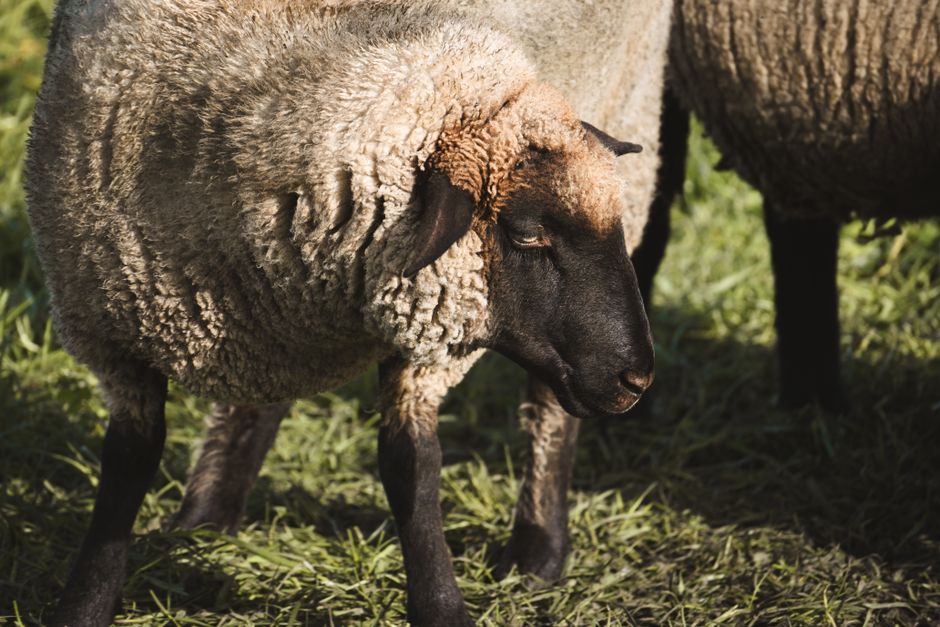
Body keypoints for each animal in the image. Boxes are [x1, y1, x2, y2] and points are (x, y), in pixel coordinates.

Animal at [26, 1, 669, 624]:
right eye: (528, 235)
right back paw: (207, 517)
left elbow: (412, 466)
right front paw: (84, 604)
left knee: (549, 412)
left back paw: (538, 552)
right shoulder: (108, 328)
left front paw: (441, 605)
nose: (637, 379)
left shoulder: (425, 333)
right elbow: (127, 464)